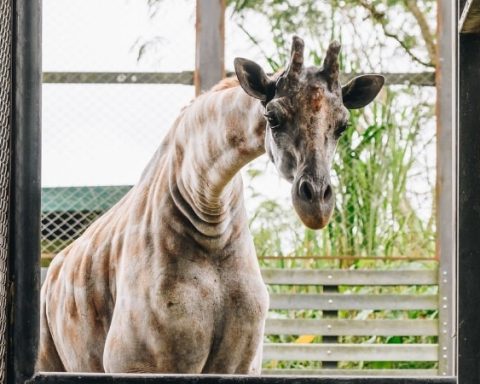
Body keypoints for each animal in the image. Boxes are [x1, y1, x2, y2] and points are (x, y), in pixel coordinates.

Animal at [36, 35, 382, 372]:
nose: (317, 206)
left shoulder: (240, 364)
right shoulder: (137, 364)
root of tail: (52, 270)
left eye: (343, 125)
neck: (209, 215)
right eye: (272, 117)